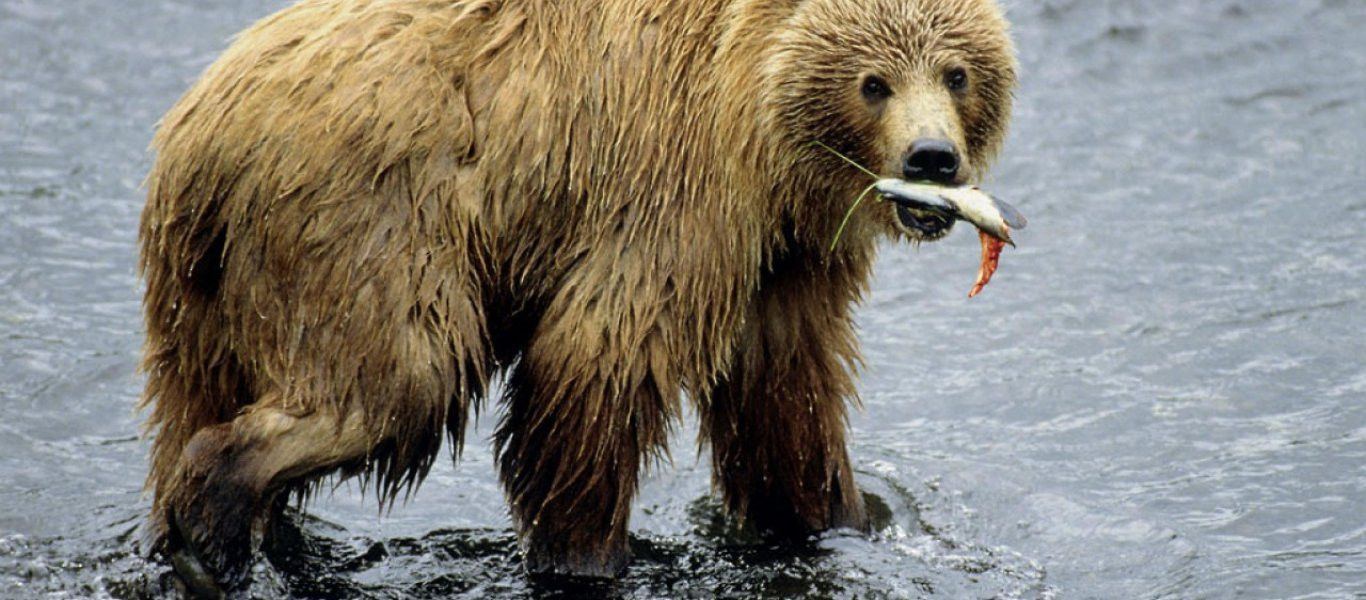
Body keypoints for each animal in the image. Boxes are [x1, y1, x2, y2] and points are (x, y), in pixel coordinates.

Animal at [138, 0, 1016, 593]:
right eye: (873, 83)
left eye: (958, 71)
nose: (932, 157)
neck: (764, 146)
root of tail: (198, 130)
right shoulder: (679, 197)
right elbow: (594, 365)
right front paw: (586, 554)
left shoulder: (782, 261)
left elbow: (784, 399)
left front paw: (841, 516)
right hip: (368, 228)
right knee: (395, 382)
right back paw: (213, 530)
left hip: (205, 292)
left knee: (196, 395)